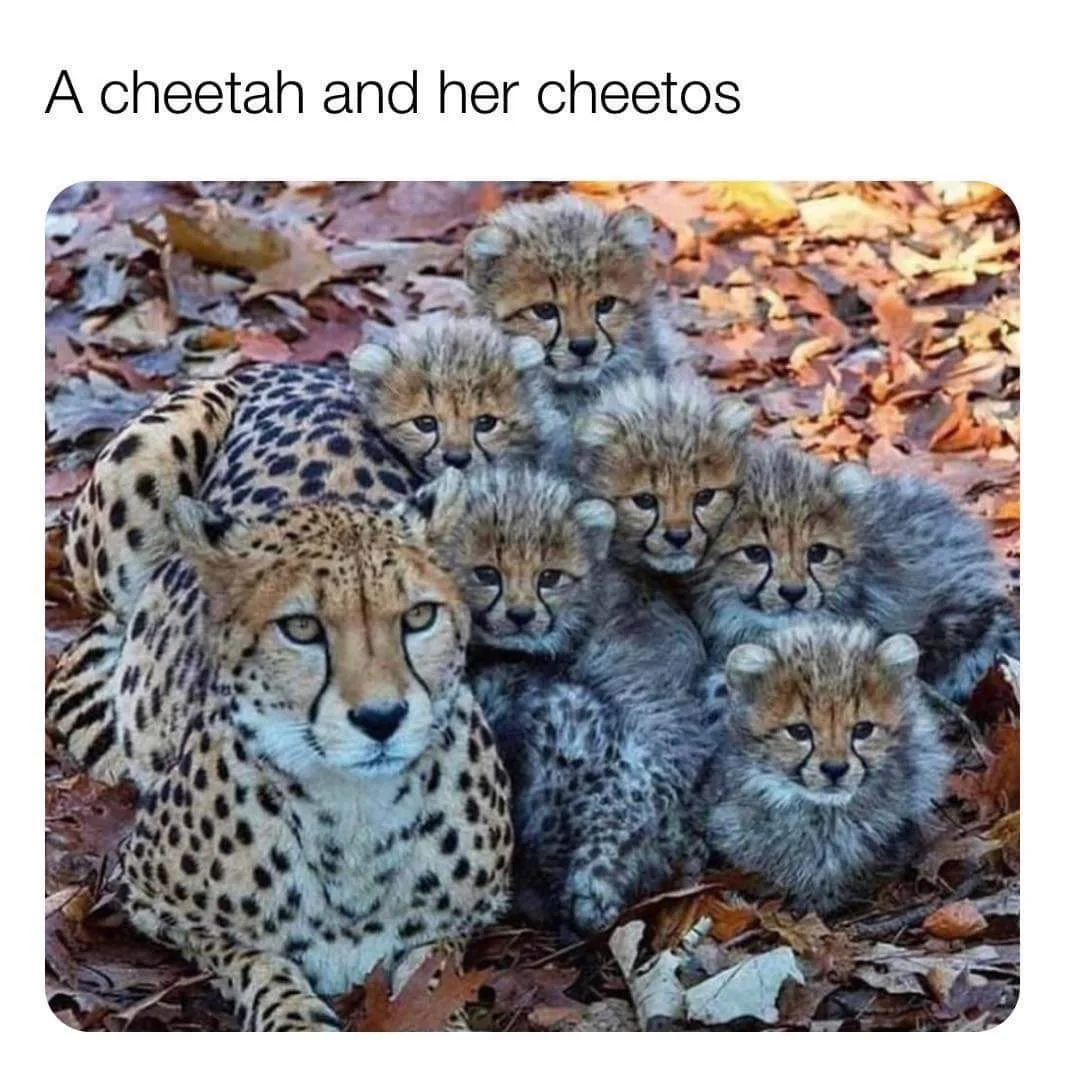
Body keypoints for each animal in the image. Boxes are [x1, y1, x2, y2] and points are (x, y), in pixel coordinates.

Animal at [48, 485, 513, 1030]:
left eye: (419, 617)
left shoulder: (463, 920)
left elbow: (433, 971)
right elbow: (255, 959)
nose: (382, 718)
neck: (356, 809)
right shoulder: (149, 897)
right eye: (301, 627)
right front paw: (295, 1014)